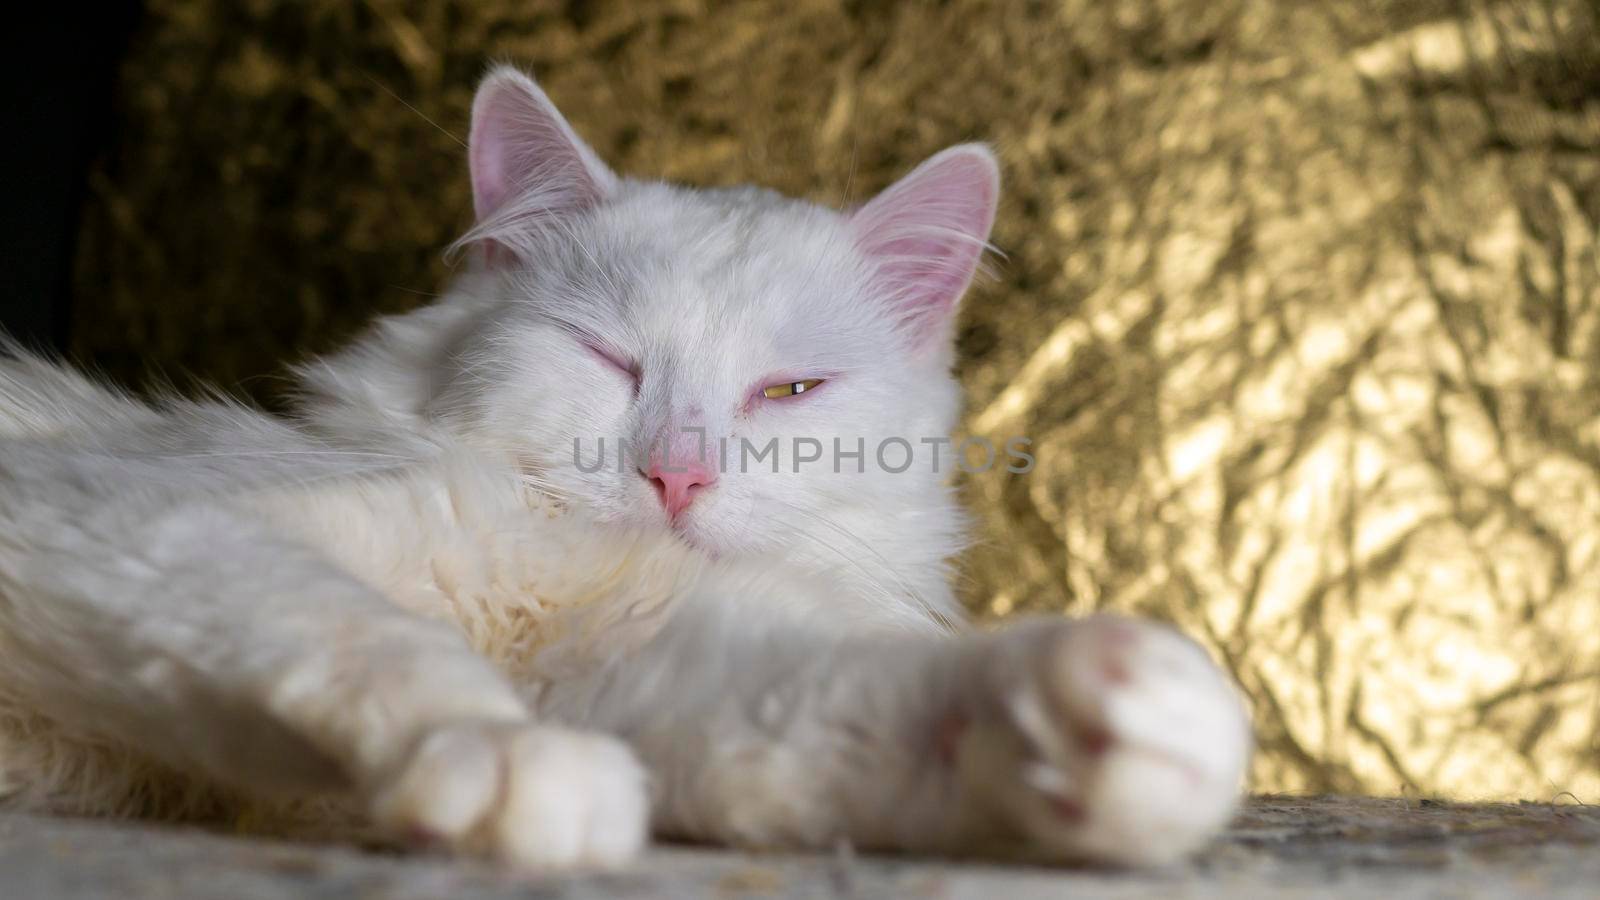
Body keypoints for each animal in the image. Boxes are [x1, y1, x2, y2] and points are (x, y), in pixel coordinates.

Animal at [0, 66, 1248, 864]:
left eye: (786, 392)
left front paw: (1108, 717)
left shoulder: (647, 656)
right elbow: (359, 633)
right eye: (607, 358)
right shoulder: (134, 521)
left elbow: (885, 704)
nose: (676, 477)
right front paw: (510, 758)